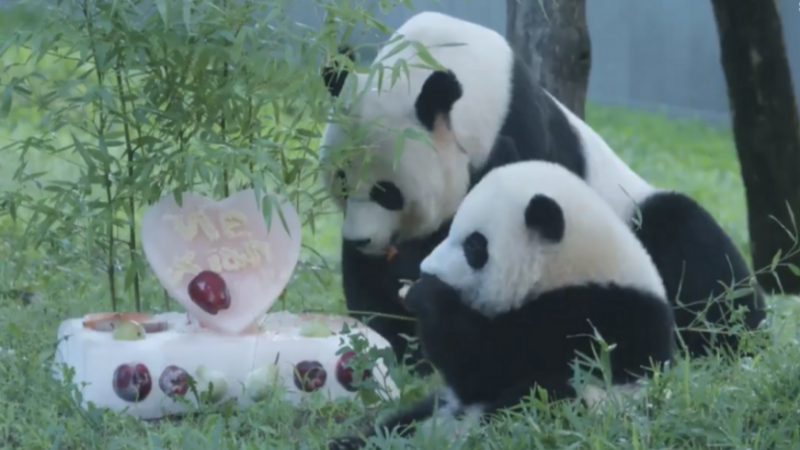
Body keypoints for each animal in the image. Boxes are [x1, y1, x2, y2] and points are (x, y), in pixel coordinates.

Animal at [320, 11, 765, 363]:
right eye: (340, 183)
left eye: (387, 192)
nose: (361, 239)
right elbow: (375, 282)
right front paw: (400, 339)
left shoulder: (523, 133)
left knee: (690, 246)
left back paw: (726, 338)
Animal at [327, 160, 676, 450]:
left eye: (474, 245)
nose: (427, 269)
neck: (570, 267)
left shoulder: (590, 318)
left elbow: (487, 366)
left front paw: (426, 294)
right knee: (403, 423)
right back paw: (350, 442)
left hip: (596, 403)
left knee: (542, 399)